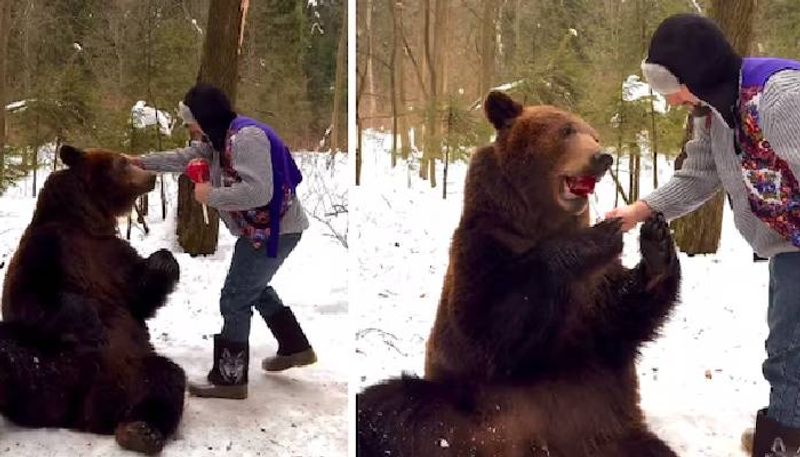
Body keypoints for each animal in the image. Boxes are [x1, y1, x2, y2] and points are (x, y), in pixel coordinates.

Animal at [0, 145, 186, 452]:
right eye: (123, 161)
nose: (150, 174)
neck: (88, 223)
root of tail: (83, 417)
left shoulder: (113, 256)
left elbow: (139, 298)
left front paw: (163, 260)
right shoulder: (50, 246)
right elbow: (29, 296)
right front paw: (91, 322)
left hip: (130, 370)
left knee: (166, 378)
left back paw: (141, 431)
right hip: (52, 368)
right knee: (11, 350)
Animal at [356, 92, 680, 456]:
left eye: (594, 135)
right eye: (566, 131)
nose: (602, 157)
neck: (537, 224)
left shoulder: (591, 304)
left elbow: (621, 316)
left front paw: (657, 241)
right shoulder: (483, 250)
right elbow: (489, 323)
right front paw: (602, 233)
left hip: (606, 431)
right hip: (469, 417)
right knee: (393, 409)